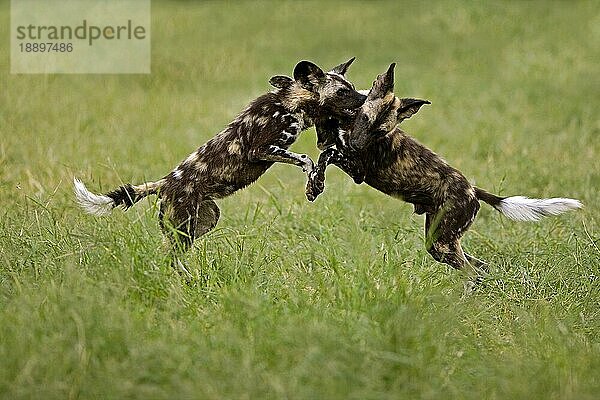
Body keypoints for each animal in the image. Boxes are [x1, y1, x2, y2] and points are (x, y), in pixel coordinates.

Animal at [75, 57, 366, 276]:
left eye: (351, 86)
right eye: (342, 92)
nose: (365, 99)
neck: (290, 102)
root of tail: (164, 183)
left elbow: (316, 158)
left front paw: (315, 183)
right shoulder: (262, 151)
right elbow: (305, 158)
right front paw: (313, 183)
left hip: (204, 220)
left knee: (172, 255)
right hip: (184, 227)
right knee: (168, 257)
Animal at [304, 63, 580, 282]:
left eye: (380, 132)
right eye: (364, 119)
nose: (356, 146)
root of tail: (473, 191)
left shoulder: (355, 169)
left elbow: (327, 156)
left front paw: (315, 185)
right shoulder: (333, 142)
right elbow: (324, 148)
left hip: (441, 243)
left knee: (472, 273)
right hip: (440, 242)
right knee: (482, 268)